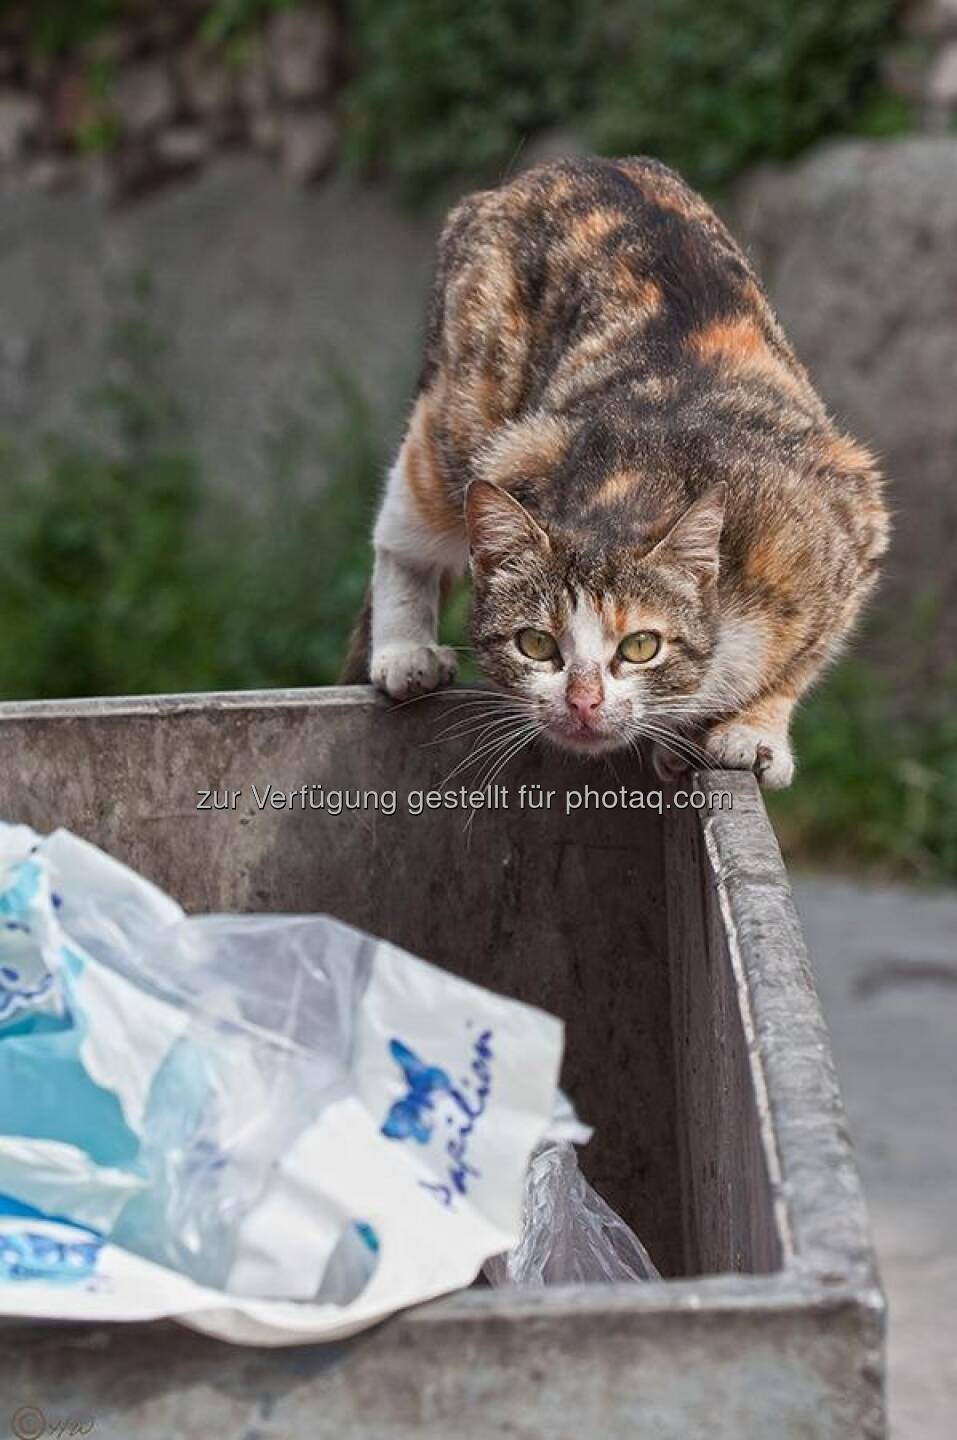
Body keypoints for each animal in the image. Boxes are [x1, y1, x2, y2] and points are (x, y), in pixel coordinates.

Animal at [339, 157, 886, 789]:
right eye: (536, 644)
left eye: (640, 646)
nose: (583, 701)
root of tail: (559, 167)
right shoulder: (525, 449)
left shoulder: (849, 515)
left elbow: (803, 660)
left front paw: (752, 731)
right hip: (464, 413)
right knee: (404, 526)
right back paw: (405, 652)